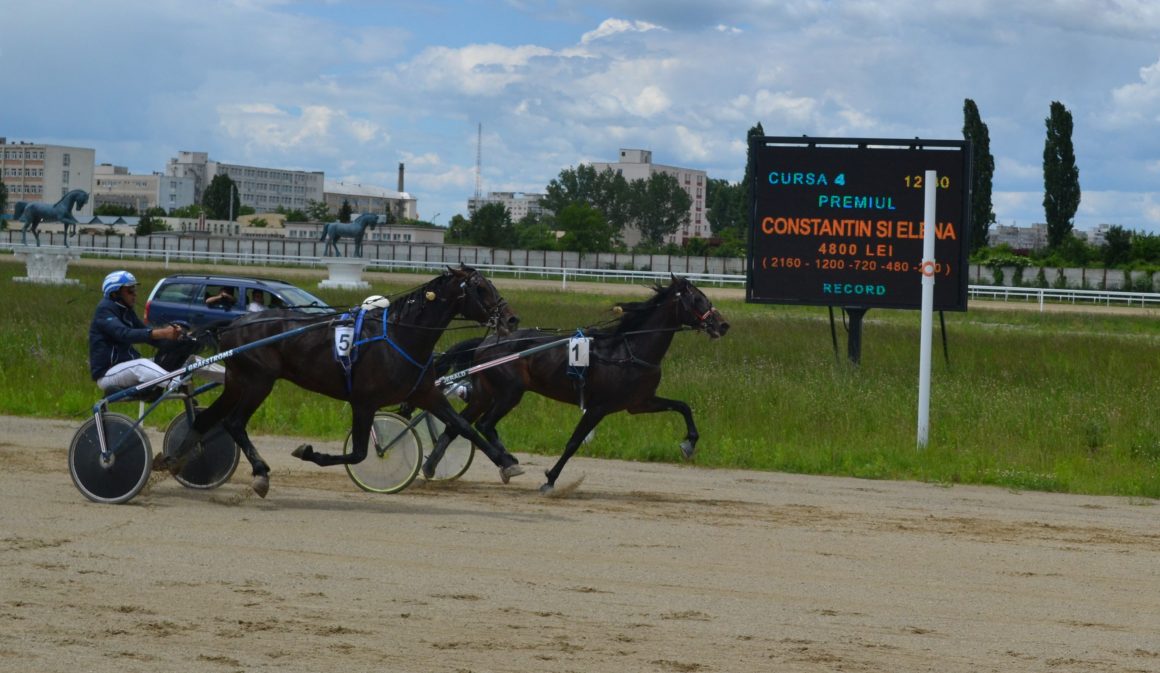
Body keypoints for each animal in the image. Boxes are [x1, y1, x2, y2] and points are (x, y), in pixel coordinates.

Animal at [163, 265, 522, 496]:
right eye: (480, 288)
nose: (511, 319)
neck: (400, 335)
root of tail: (231, 325)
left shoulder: (424, 393)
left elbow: (463, 427)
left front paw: (507, 463)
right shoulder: (364, 401)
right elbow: (360, 453)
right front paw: (308, 452)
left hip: (237, 381)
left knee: (208, 419)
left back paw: (175, 460)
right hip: (258, 381)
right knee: (234, 422)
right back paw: (260, 473)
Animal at [426, 275, 728, 494]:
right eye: (698, 299)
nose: (723, 325)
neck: (628, 350)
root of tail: (485, 342)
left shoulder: (640, 402)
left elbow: (683, 406)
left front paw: (689, 443)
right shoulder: (599, 407)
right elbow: (573, 442)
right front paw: (550, 479)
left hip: (484, 394)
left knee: (457, 425)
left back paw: (432, 467)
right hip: (509, 392)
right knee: (485, 424)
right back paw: (507, 462)